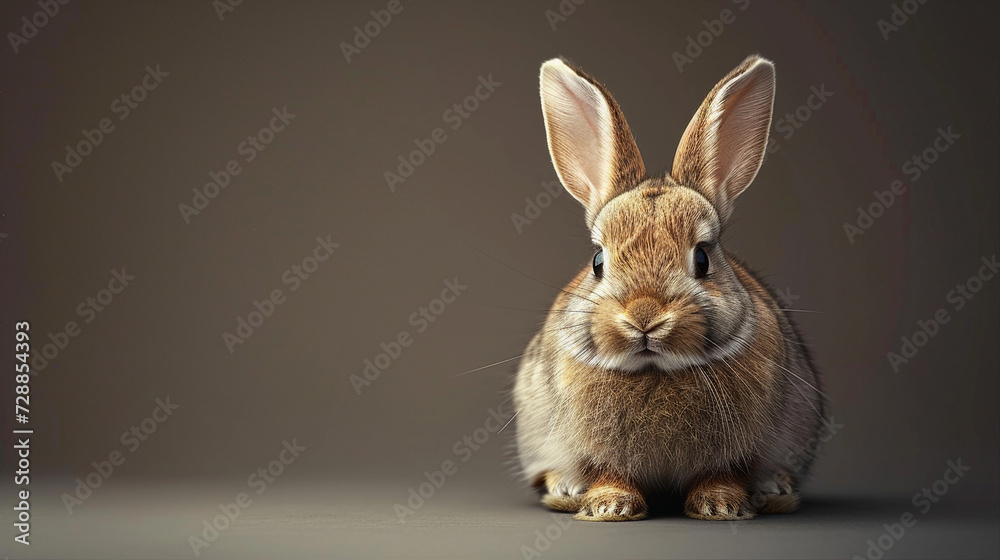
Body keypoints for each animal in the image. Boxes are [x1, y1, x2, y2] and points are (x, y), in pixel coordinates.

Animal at [512, 55, 826, 522]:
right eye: (598, 261)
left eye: (703, 259)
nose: (645, 316)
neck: (654, 368)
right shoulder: (592, 450)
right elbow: (607, 472)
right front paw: (610, 507)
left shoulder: (739, 451)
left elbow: (722, 474)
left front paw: (720, 507)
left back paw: (774, 488)